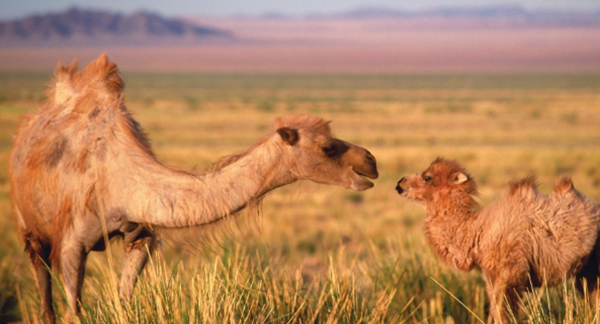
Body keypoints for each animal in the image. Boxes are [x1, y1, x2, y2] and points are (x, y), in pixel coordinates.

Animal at [396, 159, 600, 324]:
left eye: (427, 177)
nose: (400, 183)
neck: (477, 232)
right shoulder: (491, 278)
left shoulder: (509, 275)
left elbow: (504, 314)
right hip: (586, 273)